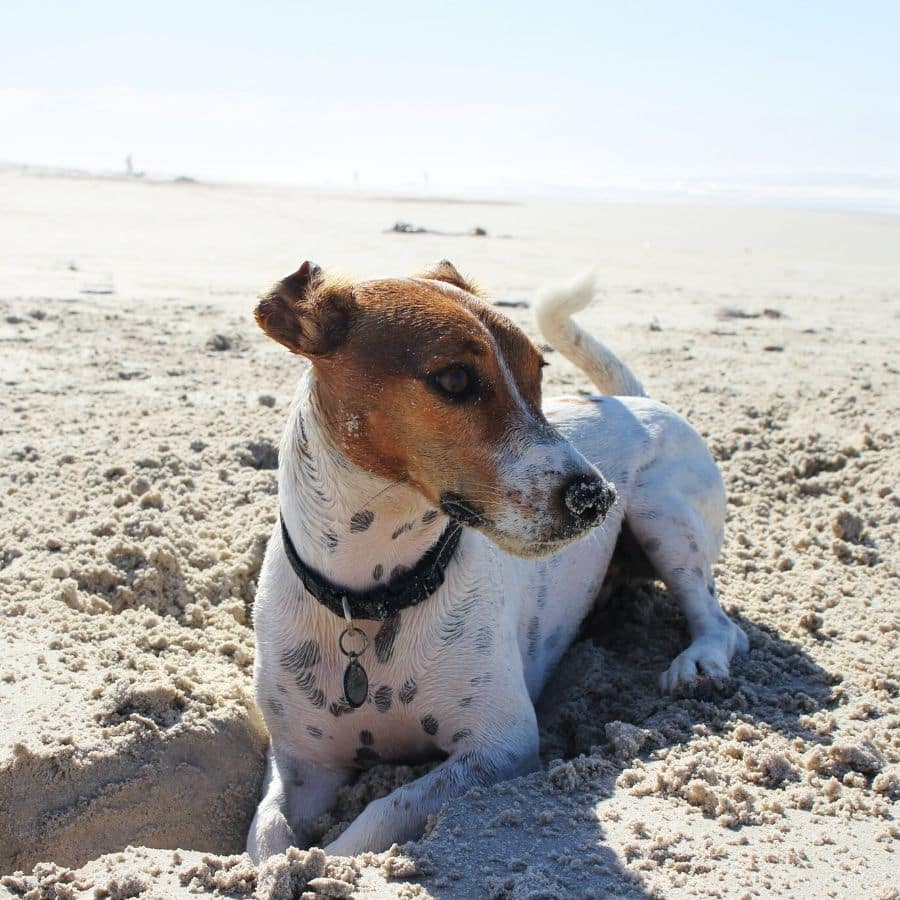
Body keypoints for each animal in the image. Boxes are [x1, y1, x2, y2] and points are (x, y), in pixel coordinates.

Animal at [246, 258, 744, 856]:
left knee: (719, 620)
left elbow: (382, 813)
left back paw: (699, 662)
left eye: (539, 371)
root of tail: (641, 400)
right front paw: (281, 864)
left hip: (664, 515)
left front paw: (336, 859)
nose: (596, 497)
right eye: (455, 379)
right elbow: (267, 834)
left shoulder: (501, 747)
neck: (372, 597)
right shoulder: (303, 765)